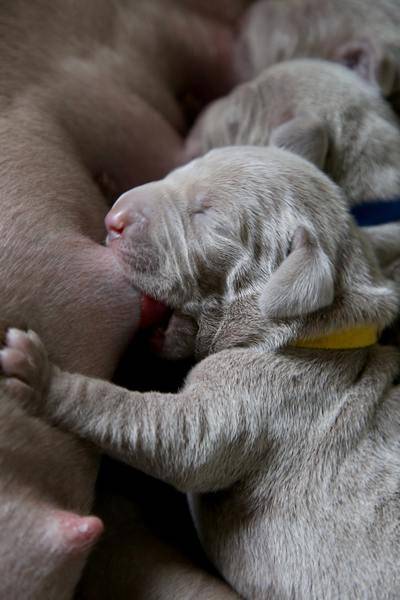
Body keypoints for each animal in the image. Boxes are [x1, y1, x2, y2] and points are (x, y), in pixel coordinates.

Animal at [0, 146, 400, 600]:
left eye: (205, 214)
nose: (113, 218)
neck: (316, 336)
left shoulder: (262, 396)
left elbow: (177, 436)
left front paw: (41, 377)